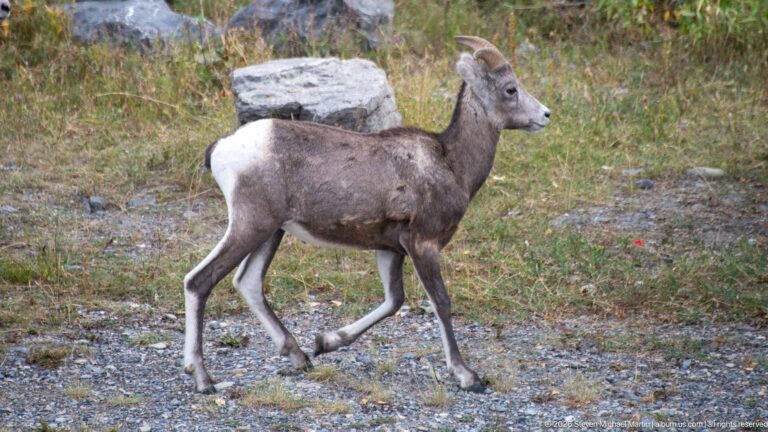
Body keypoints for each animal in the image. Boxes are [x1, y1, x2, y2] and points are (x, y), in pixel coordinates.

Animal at [183, 35, 551, 393]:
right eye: (510, 89)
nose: (546, 115)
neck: (451, 163)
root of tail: (221, 148)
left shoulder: (391, 251)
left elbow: (394, 301)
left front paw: (325, 342)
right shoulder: (423, 244)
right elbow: (441, 302)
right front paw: (467, 376)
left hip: (272, 231)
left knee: (248, 282)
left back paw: (300, 357)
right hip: (251, 225)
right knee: (198, 281)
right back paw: (203, 379)